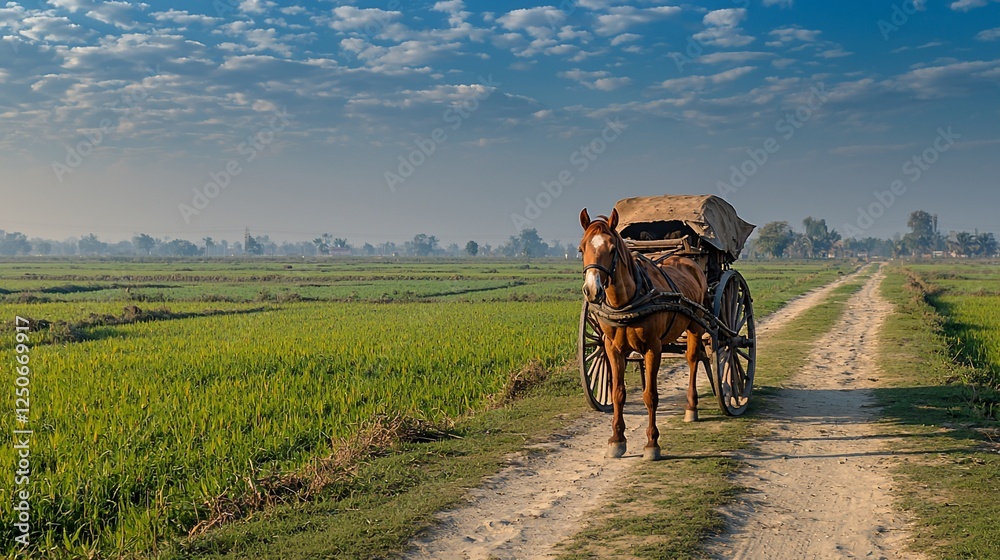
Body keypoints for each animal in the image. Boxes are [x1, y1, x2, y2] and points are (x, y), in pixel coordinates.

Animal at [578, 207, 709, 461]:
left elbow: (650, 396)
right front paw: (617, 440)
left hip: (695, 326)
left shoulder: (653, 348)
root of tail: (688, 259)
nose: (592, 290)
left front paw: (652, 443)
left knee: (693, 359)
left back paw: (691, 407)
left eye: (612, 249)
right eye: (581, 248)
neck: (627, 302)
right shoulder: (612, 348)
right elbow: (617, 393)